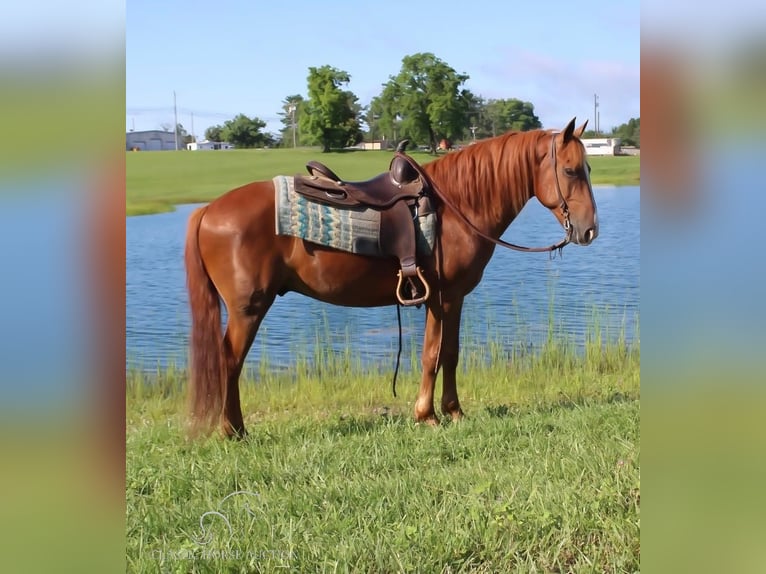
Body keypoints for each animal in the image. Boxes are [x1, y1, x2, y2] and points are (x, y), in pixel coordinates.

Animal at [184, 118, 600, 440]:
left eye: (588, 169)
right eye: (570, 170)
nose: (589, 230)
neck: (457, 207)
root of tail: (207, 211)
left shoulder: (451, 299)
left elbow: (450, 353)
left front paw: (453, 411)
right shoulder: (444, 297)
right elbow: (433, 354)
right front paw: (427, 415)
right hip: (248, 309)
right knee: (230, 362)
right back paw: (234, 430)